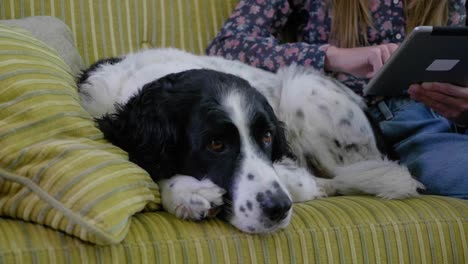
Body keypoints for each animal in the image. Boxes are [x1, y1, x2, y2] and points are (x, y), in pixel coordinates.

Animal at [77, 47, 424, 233]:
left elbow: (303, 181)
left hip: (303, 87)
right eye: (215, 144)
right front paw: (189, 192)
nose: (278, 208)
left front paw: (186, 192)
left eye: (267, 136)